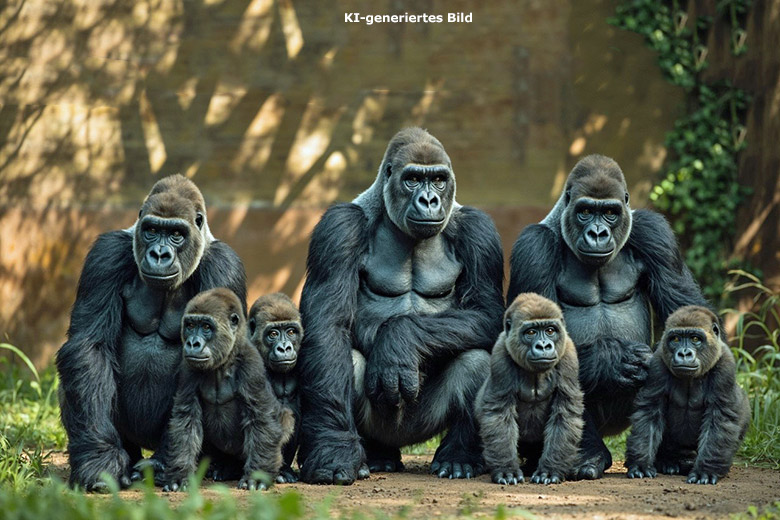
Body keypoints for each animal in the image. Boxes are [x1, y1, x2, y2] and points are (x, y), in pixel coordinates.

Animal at [56, 174, 246, 491]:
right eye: (152, 231)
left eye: (177, 234)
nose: (159, 254)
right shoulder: (106, 255)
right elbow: (90, 347)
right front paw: (99, 460)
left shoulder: (224, 265)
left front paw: (165, 466)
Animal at [162, 288, 293, 492]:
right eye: (190, 325)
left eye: (206, 327)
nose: (192, 343)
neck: (223, 362)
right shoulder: (188, 369)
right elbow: (186, 421)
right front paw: (179, 474)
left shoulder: (251, 365)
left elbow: (261, 419)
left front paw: (257, 477)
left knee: (285, 418)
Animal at [477, 293, 584, 485]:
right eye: (531, 332)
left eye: (550, 330)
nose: (543, 346)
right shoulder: (500, 354)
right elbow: (499, 414)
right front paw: (506, 470)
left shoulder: (568, 353)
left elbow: (565, 413)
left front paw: (550, 469)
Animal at [625, 306, 749, 485]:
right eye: (676, 339)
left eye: (695, 338)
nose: (684, 354)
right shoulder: (657, 362)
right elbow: (649, 413)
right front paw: (640, 463)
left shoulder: (725, 365)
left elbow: (719, 418)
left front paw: (706, 470)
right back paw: (669, 461)